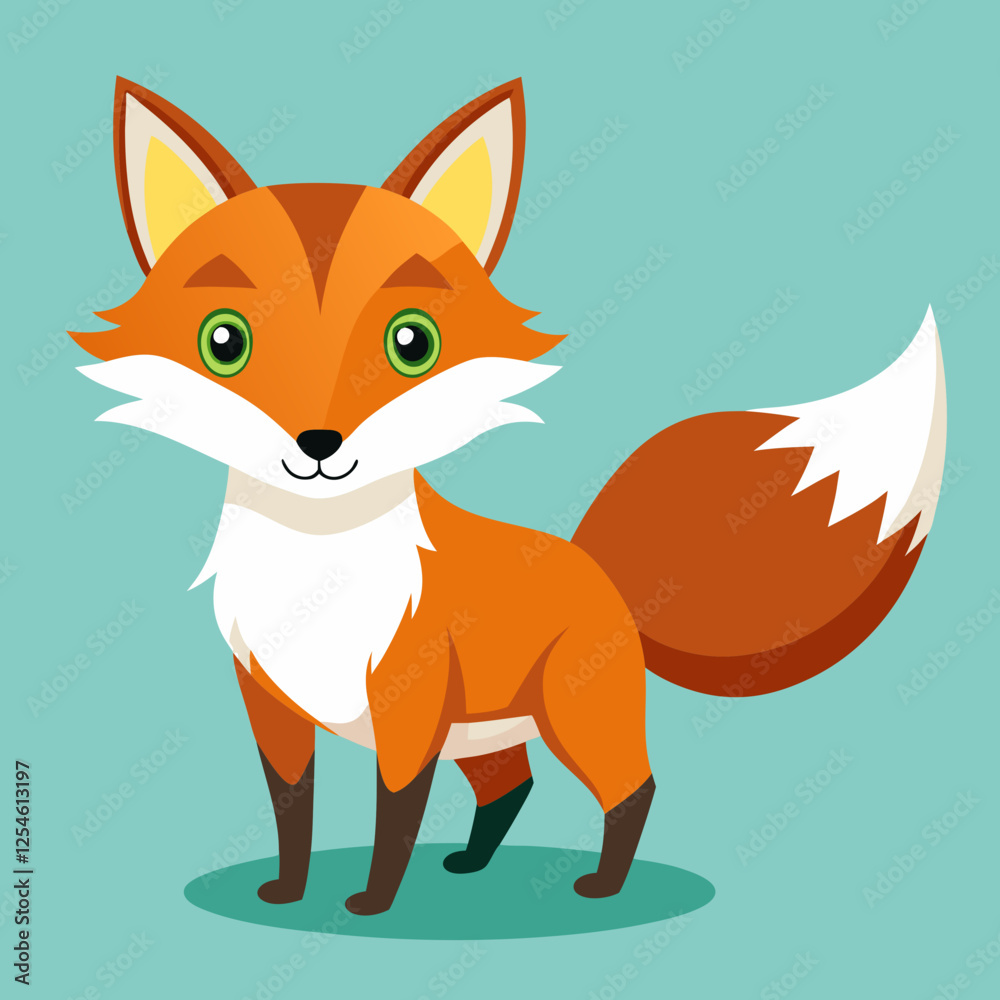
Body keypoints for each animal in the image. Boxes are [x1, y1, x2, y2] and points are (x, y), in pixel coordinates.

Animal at [71, 77, 947, 916]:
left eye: (411, 342)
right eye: (224, 341)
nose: (319, 446)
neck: (318, 569)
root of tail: (601, 570)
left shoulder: (408, 709)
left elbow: (393, 815)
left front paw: (373, 905)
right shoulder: (273, 706)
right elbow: (295, 814)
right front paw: (291, 893)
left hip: (573, 716)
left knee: (633, 789)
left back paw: (603, 887)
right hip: (488, 732)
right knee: (514, 785)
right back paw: (471, 863)